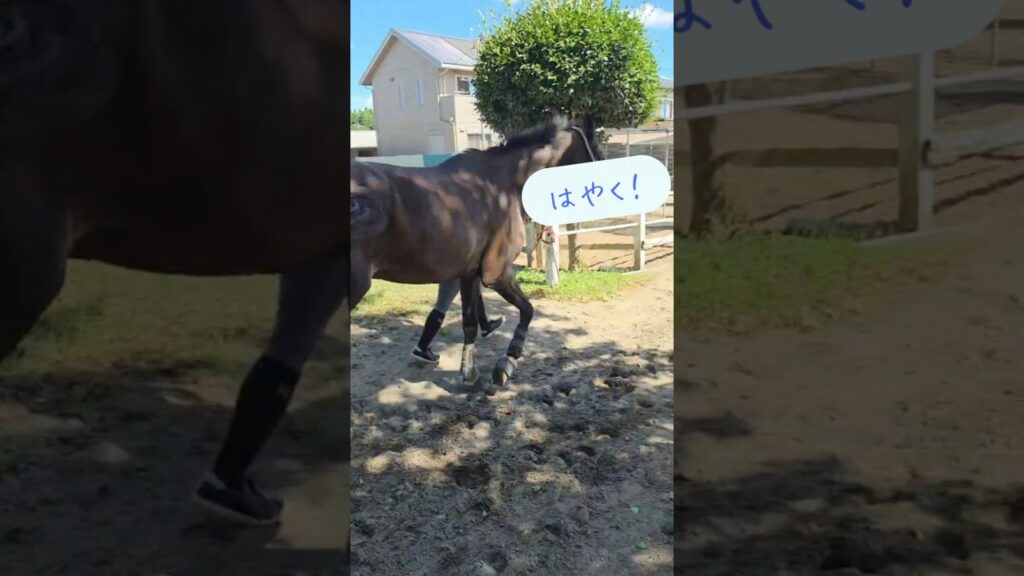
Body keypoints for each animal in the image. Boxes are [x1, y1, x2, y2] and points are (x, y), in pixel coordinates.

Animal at [349, 116, 601, 388]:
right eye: (594, 149)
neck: (502, 184)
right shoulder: (496, 272)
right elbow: (527, 309)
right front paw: (507, 361)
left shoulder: (468, 272)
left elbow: (469, 322)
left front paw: (469, 371)